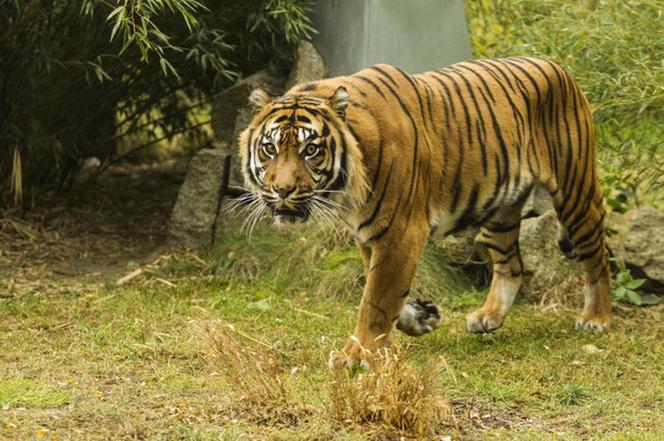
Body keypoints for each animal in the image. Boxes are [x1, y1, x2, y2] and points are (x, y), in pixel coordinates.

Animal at [237, 57, 612, 368]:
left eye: (311, 150)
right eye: (270, 148)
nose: (283, 190)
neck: (348, 189)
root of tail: (558, 66)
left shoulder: (400, 233)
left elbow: (375, 299)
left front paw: (355, 355)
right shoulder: (369, 236)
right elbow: (384, 291)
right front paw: (422, 317)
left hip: (575, 190)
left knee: (597, 256)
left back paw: (596, 318)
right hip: (499, 211)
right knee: (512, 265)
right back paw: (489, 316)